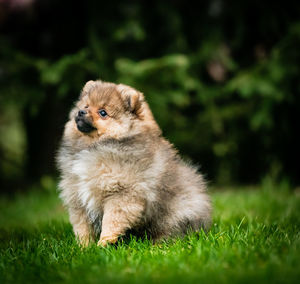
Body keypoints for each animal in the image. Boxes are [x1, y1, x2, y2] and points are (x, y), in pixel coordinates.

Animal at [56, 80, 211, 246]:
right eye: (86, 106)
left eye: (103, 112)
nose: (80, 112)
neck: (93, 146)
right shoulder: (77, 195)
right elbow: (82, 226)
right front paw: (84, 247)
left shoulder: (122, 193)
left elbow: (111, 220)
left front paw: (104, 243)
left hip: (176, 214)